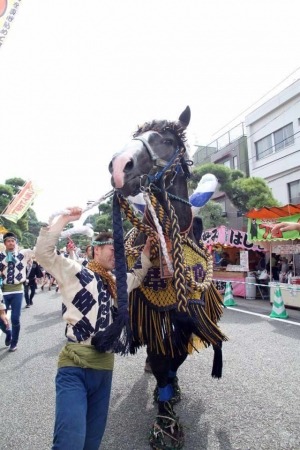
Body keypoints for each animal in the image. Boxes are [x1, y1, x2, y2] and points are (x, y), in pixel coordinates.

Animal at [108, 107, 227, 448]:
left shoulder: (188, 315)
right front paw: (165, 422)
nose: (119, 166)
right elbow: (161, 359)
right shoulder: (153, 312)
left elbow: (177, 356)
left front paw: (172, 392)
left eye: (169, 139)